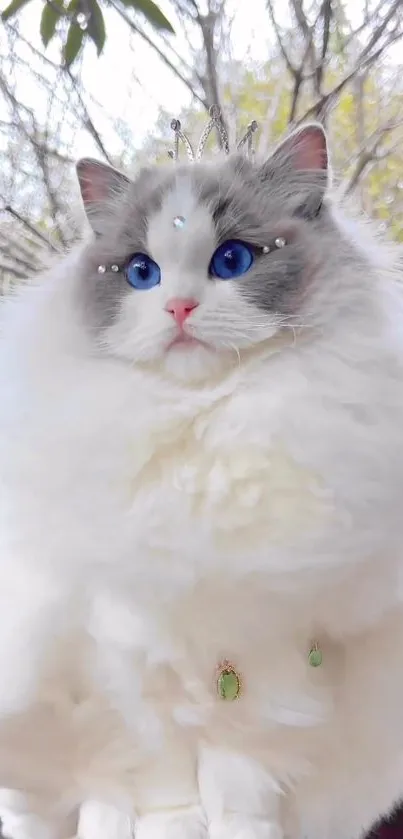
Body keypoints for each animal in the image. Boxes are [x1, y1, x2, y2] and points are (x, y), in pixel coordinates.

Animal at [0, 120, 403, 839]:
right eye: (141, 273)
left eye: (233, 261)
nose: (180, 307)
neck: (205, 428)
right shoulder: (127, 650)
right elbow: (158, 768)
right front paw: (171, 825)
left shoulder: (262, 655)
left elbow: (238, 779)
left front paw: (240, 828)